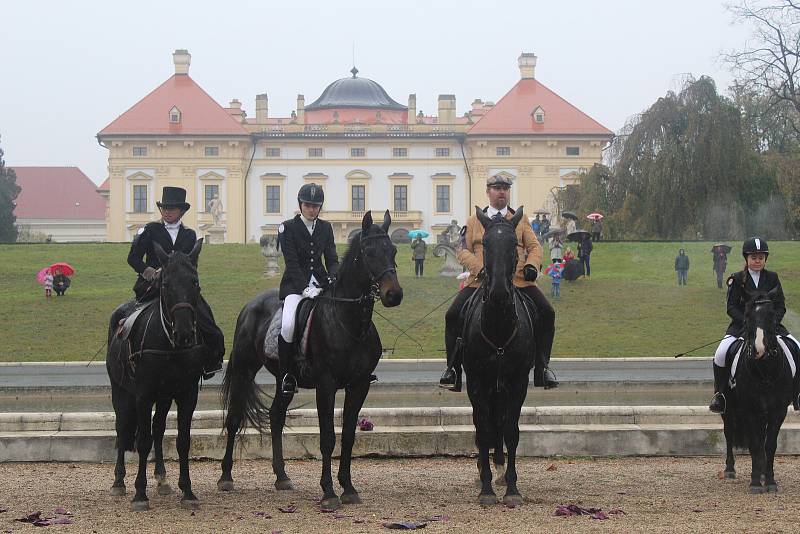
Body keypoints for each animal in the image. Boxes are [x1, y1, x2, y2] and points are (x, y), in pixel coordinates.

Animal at [104, 241, 206, 512]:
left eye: (195, 282)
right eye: (165, 283)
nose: (184, 333)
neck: (170, 346)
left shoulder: (186, 395)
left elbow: (182, 440)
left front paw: (187, 490)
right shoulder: (143, 395)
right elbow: (142, 440)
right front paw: (140, 493)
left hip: (164, 397)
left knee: (158, 428)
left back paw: (161, 478)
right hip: (120, 391)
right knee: (123, 429)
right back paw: (118, 481)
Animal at [219, 211, 404, 512]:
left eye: (394, 250)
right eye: (369, 251)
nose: (393, 295)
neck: (349, 322)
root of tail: (250, 306)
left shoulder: (359, 385)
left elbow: (348, 436)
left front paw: (348, 488)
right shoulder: (325, 386)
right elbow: (327, 437)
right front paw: (328, 492)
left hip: (284, 380)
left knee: (276, 416)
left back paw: (282, 477)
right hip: (244, 371)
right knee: (235, 417)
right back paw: (225, 477)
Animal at [460, 207, 536, 508]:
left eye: (514, 244)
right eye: (486, 243)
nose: (500, 294)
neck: (499, 326)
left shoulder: (517, 383)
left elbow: (511, 431)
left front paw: (512, 488)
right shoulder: (477, 382)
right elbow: (483, 430)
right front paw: (486, 488)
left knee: (501, 424)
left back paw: (501, 470)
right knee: (486, 425)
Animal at [720, 288, 792, 494]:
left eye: (771, 315)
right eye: (748, 316)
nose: (760, 349)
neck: (765, 371)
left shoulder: (778, 411)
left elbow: (770, 445)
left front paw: (769, 481)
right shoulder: (749, 410)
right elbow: (754, 444)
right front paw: (754, 483)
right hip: (729, 408)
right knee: (729, 431)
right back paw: (730, 470)